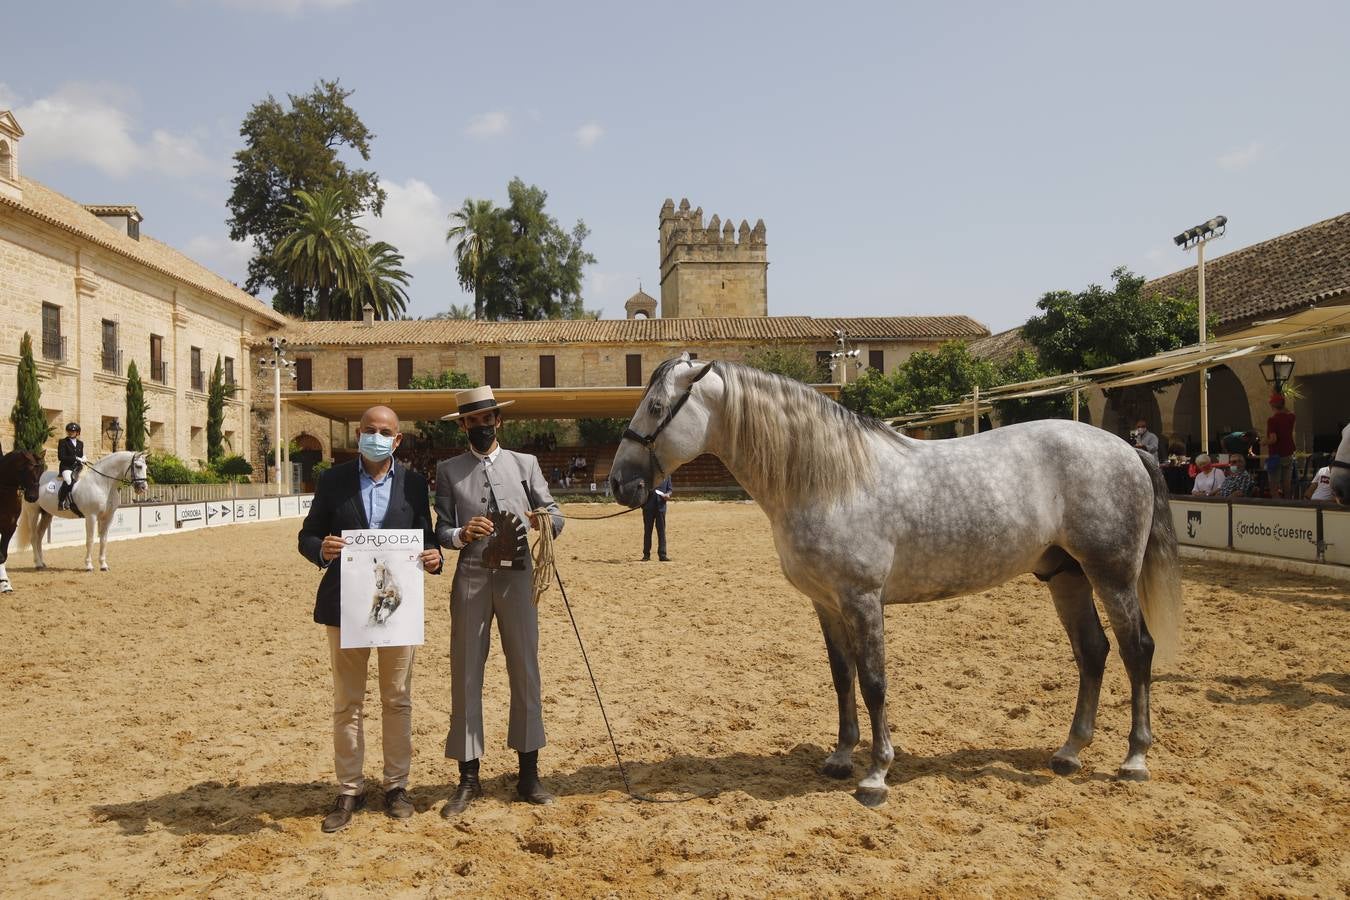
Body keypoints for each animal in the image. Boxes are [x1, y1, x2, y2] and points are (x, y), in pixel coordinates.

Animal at [0, 447, 44, 591]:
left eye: (41, 471)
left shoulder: (9, 527)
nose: (33, 497)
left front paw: (4, 583)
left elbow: (2, 555)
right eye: (24, 470)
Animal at [612, 356, 1182, 809]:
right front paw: (841, 757)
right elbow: (841, 678)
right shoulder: (827, 604)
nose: (621, 483)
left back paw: (1134, 758)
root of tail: (1128, 450)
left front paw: (876, 775)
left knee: (1137, 650)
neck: (831, 480)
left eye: (658, 407)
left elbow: (874, 682)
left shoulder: (863, 599)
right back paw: (1069, 752)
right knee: (1092, 652)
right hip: (1066, 576)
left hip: (1112, 575)